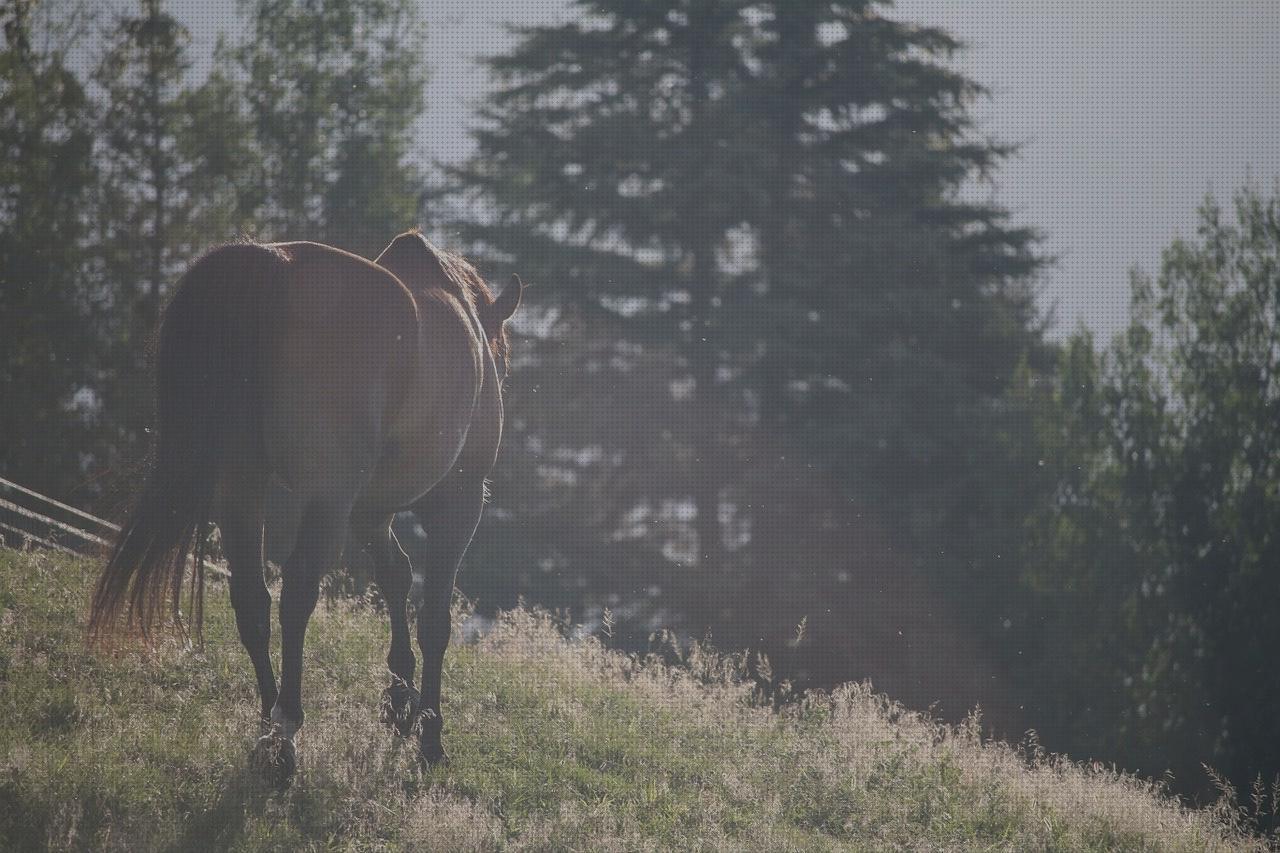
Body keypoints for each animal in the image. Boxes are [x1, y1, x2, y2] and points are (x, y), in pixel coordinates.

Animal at [88, 230, 521, 777]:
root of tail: (272, 266)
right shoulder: (457, 504)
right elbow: (434, 621)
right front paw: (429, 735)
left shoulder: (368, 512)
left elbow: (395, 577)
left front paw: (400, 704)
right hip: (326, 498)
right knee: (296, 593)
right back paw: (287, 730)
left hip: (243, 486)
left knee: (252, 597)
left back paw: (267, 724)